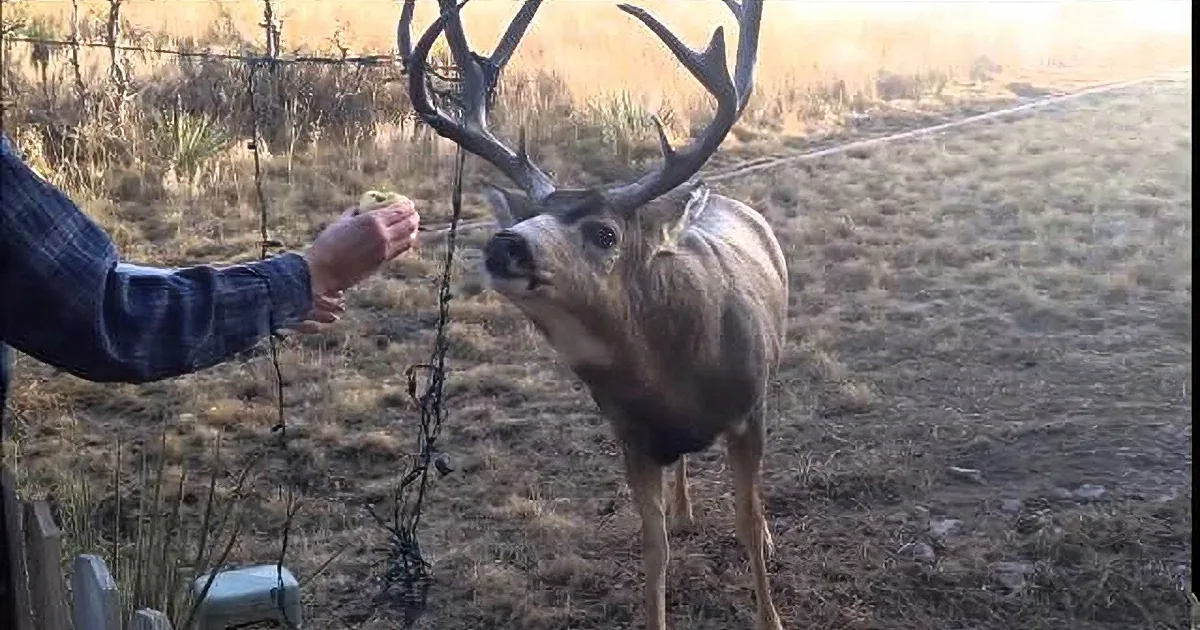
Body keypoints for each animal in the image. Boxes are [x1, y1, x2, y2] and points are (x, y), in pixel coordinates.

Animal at [399, 1, 784, 628]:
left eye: (604, 233)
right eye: (527, 215)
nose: (505, 243)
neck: (674, 379)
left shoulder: (748, 411)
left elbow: (747, 524)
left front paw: (770, 610)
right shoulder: (630, 434)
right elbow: (654, 546)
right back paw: (684, 510)